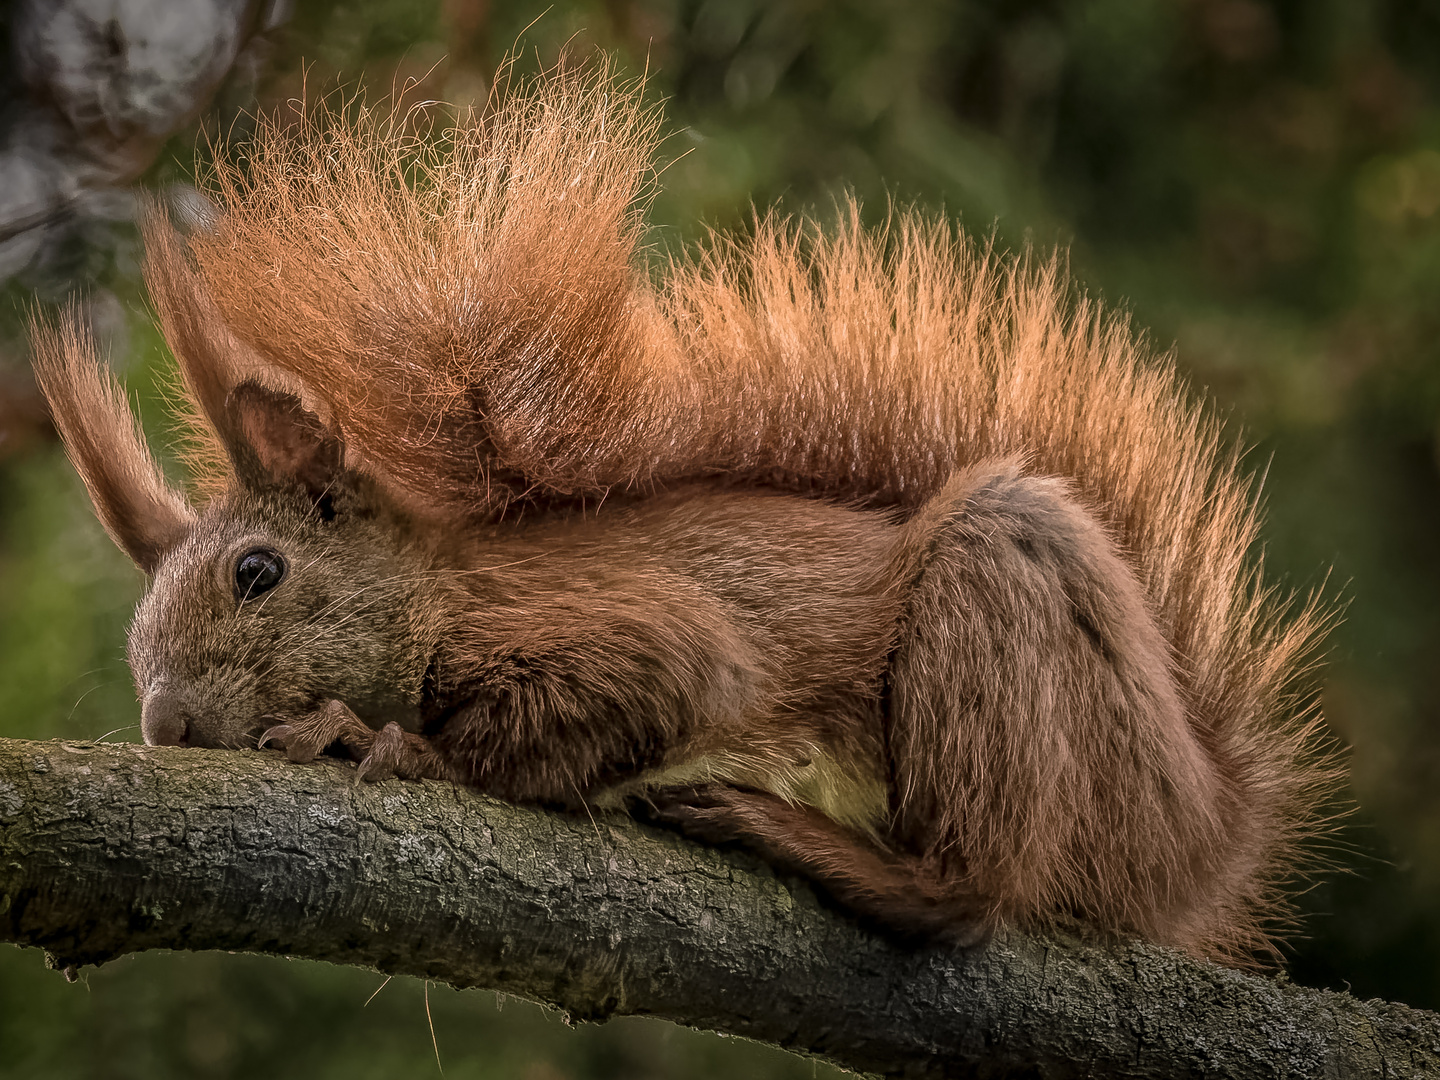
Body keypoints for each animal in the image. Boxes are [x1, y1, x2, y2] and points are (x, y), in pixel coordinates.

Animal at [30, 63, 1336, 967]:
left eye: (257, 572)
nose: (165, 724)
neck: (441, 584)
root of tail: (1208, 829)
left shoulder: (606, 628)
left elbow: (649, 684)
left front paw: (383, 744)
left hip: (1001, 603)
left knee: (969, 892)